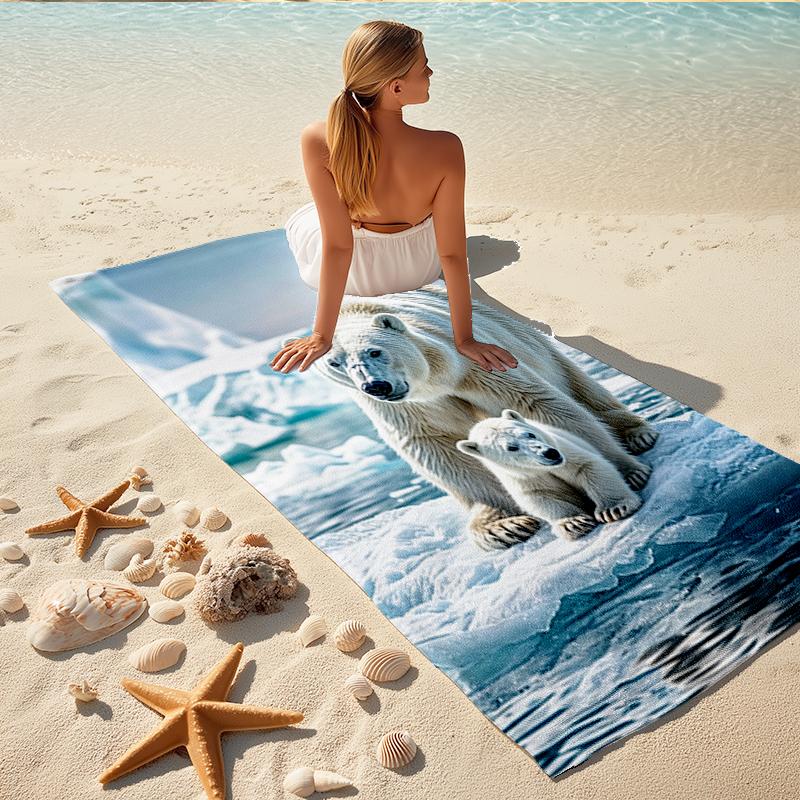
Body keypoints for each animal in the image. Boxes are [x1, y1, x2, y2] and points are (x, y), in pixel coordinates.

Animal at [456, 408, 643, 541]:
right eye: (512, 447)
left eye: (529, 434)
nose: (549, 453)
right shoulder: (521, 478)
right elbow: (540, 497)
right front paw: (573, 523)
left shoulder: (563, 451)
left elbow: (589, 466)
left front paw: (614, 509)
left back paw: (635, 473)